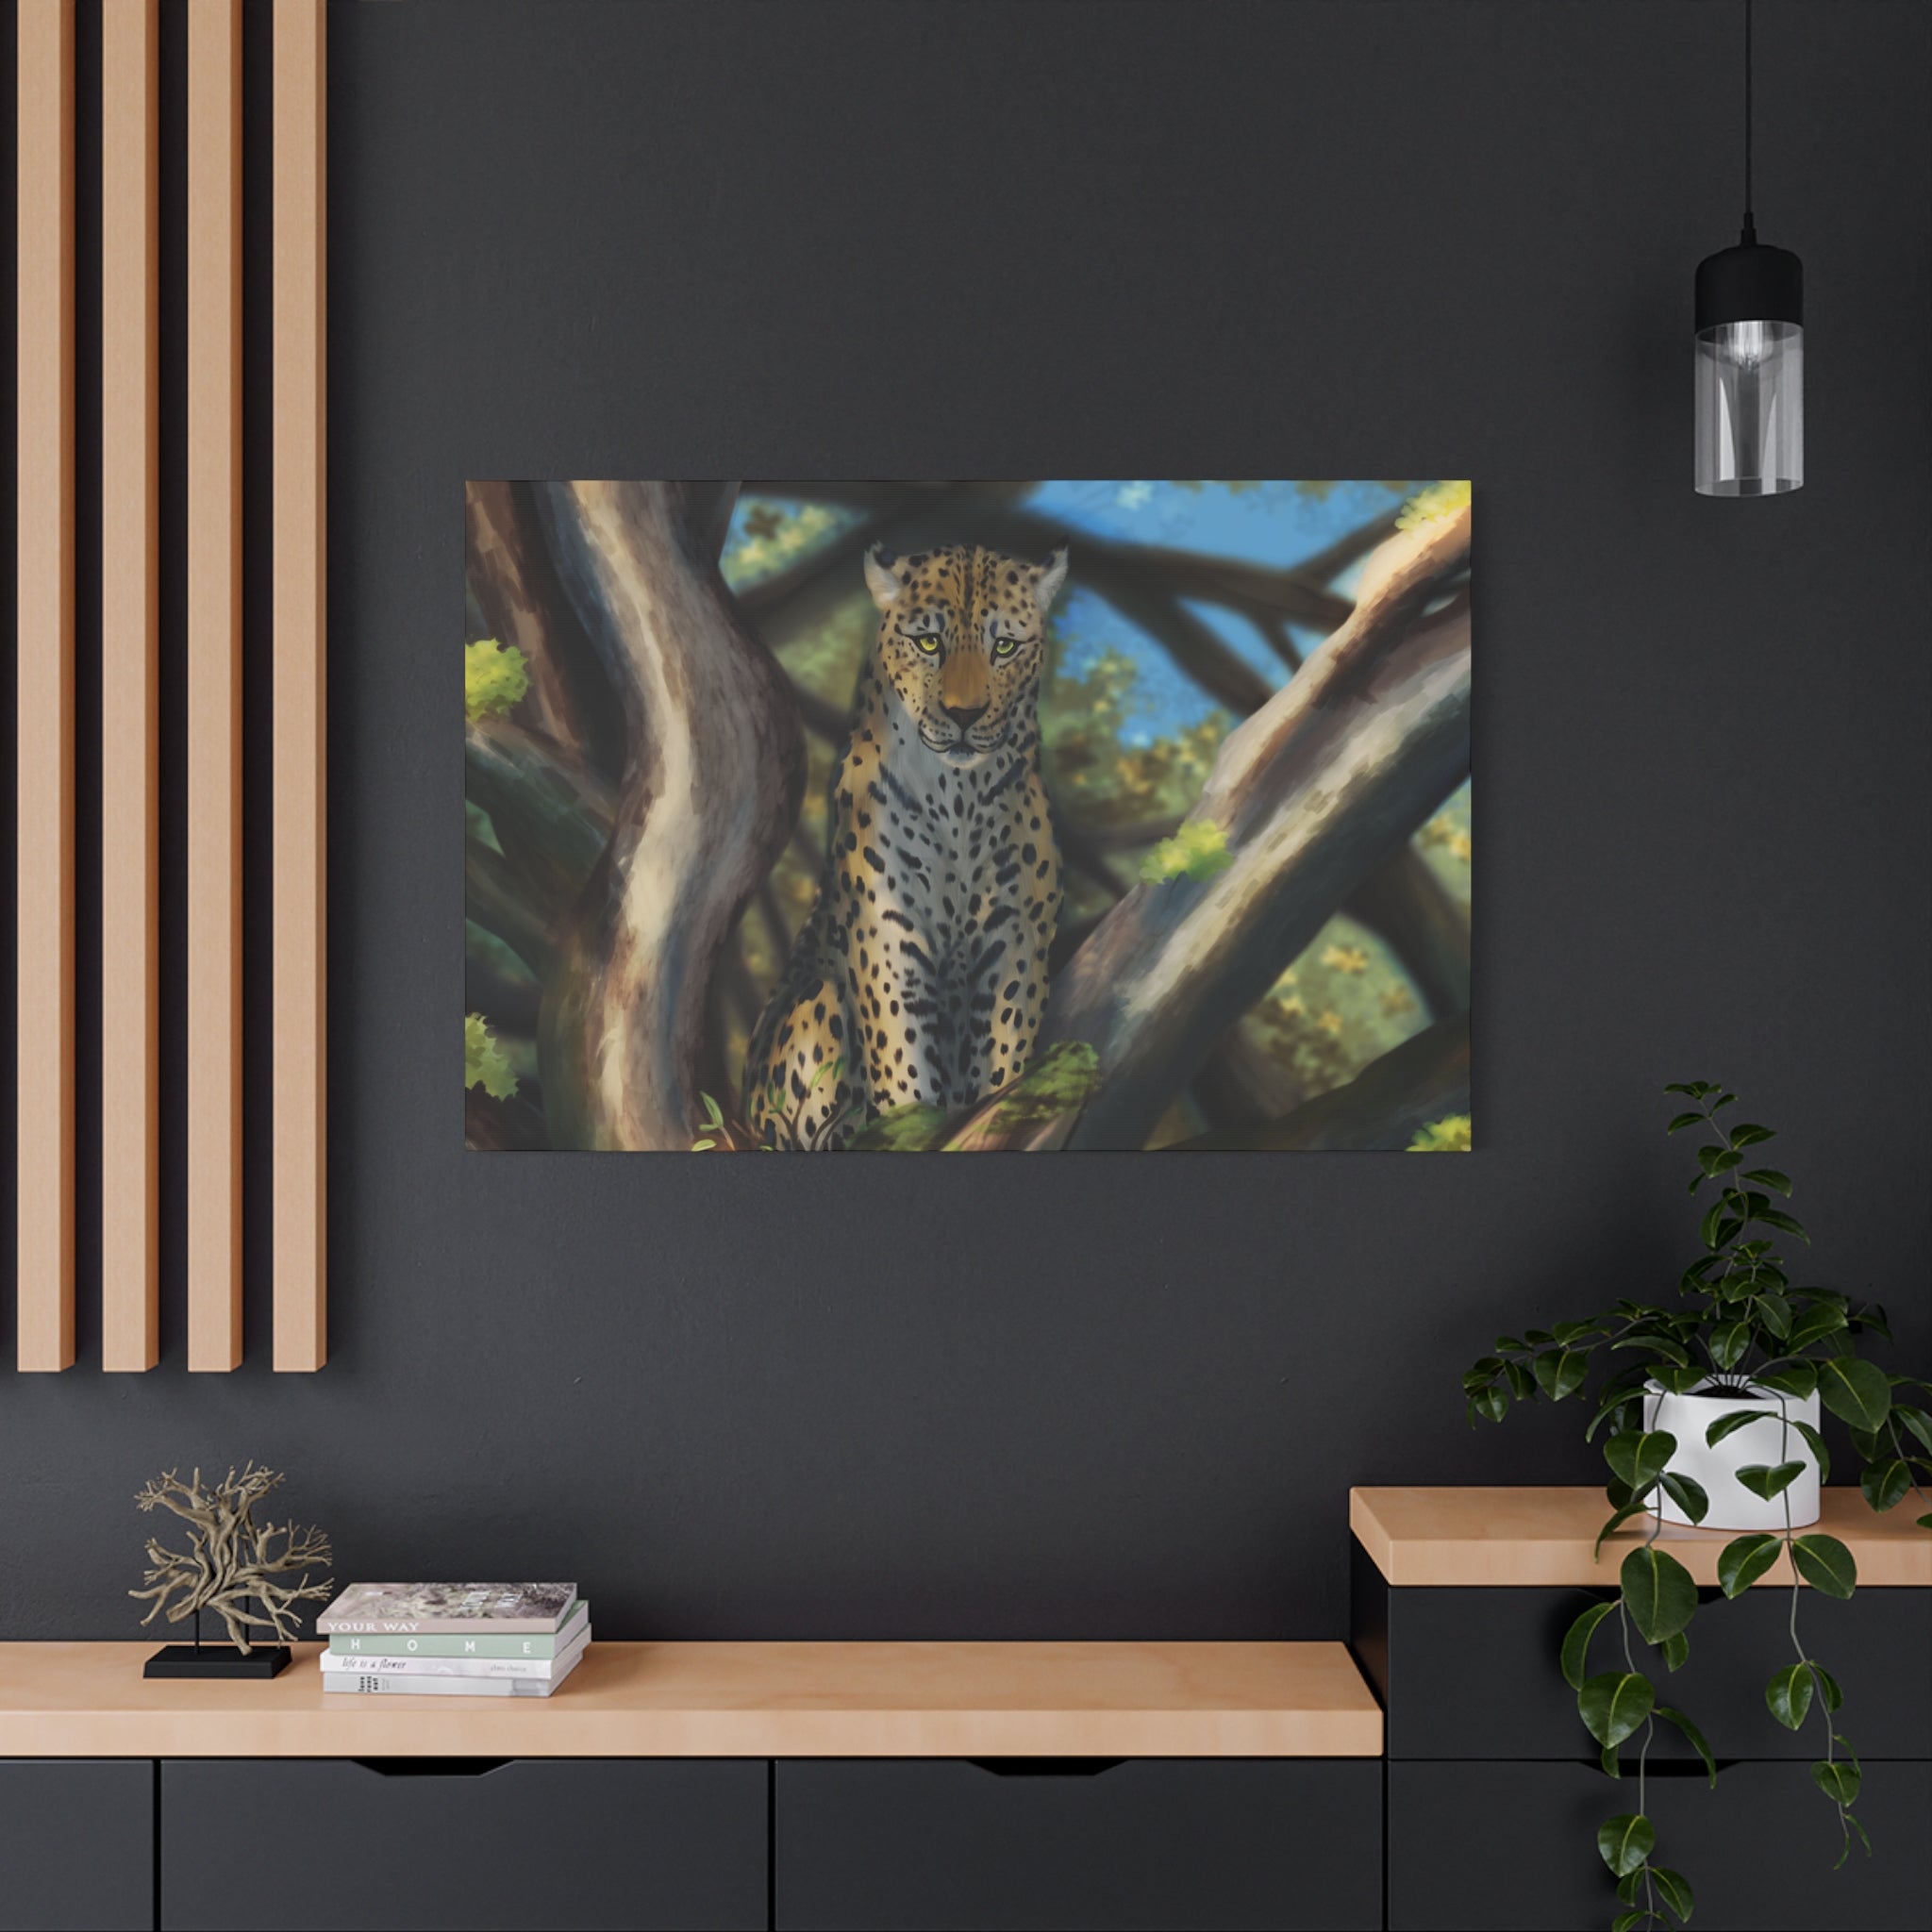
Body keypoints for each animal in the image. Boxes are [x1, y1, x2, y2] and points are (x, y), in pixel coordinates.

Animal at [744, 541, 1070, 1149]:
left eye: (1005, 646)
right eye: (928, 642)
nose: (964, 715)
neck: (958, 796)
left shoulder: (1015, 938)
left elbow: (1003, 1057)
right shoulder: (889, 938)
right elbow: (904, 1069)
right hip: (816, 1007)